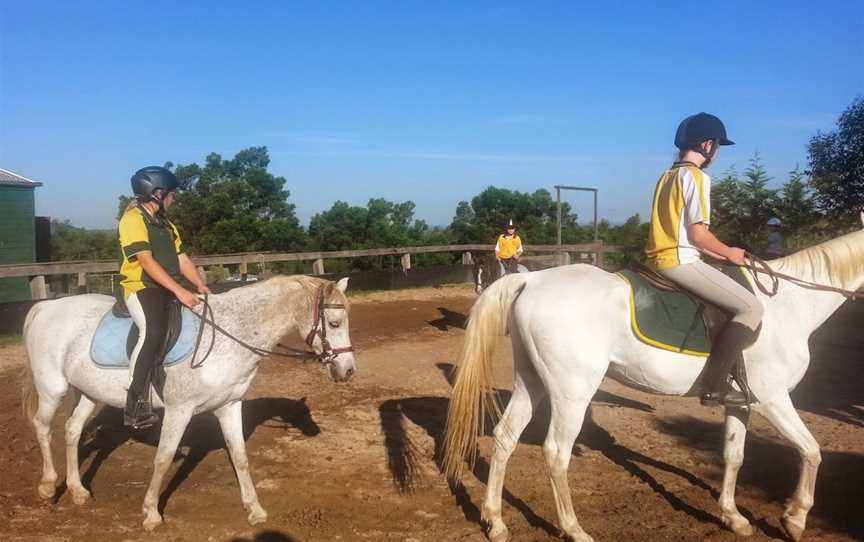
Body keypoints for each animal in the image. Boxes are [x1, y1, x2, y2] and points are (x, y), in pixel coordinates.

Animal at [22, 276, 356, 532]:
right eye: (334, 322)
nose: (348, 371)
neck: (230, 333)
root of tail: (47, 306)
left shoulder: (230, 405)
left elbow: (240, 456)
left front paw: (254, 509)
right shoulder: (179, 410)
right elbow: (163, 457)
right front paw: (151, 513)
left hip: (89, 393)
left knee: (72, 430)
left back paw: (78, 491)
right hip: (52, 388)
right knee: (43, 427)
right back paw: (48, 486)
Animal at [446, 217, 864, 542]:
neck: (790, 304)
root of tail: (531, 282)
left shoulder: (741, 403)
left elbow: (734, 456)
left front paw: (733, 517)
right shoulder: (772, 399)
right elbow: (812, 451)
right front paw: (795, 518)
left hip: (531, 382)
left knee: (505, 438)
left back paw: (496, 522)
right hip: (572, 391)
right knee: (556, 452)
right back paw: (574, 529)